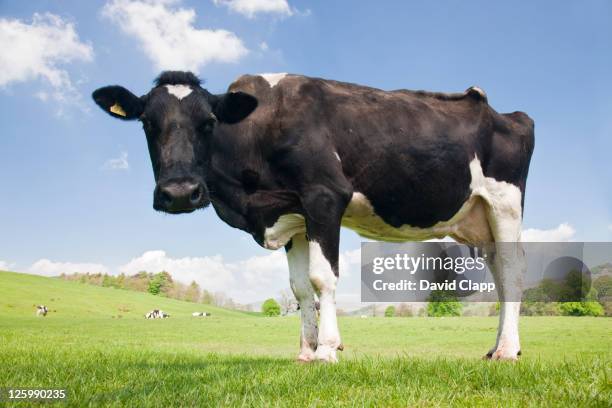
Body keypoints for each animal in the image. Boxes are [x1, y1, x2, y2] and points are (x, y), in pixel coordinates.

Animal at [92, 71, 536, 362]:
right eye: (147, 123)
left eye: (209, 122)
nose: (180, 192)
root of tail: (505, 112)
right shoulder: (294, 218)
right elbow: (301, 288)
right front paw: (305, 352)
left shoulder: (325, 196)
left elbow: (324, 278)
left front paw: (326, 350)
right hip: (479, 220)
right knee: (499, 276)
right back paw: (496, 347)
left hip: (504, 202)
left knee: (513, 273)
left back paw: (508, 351)